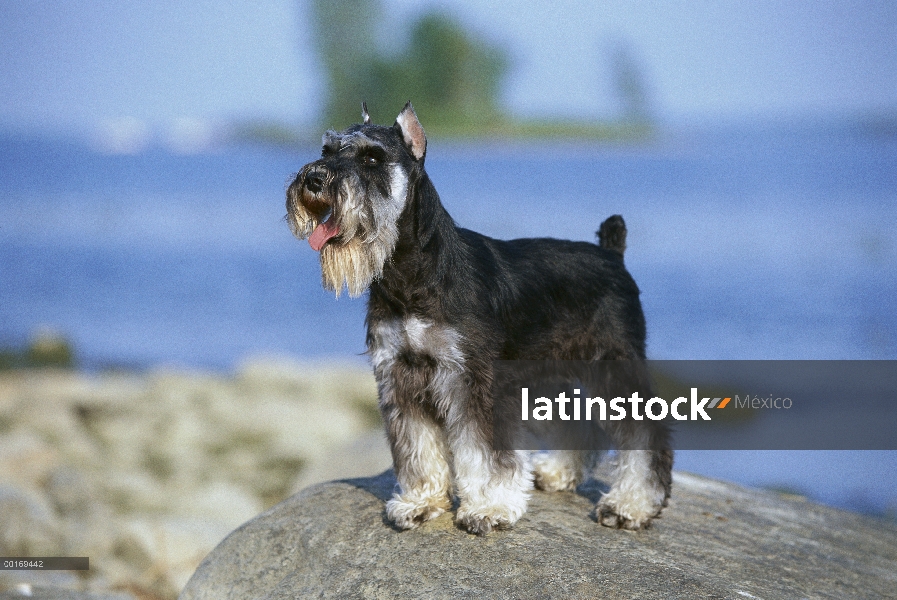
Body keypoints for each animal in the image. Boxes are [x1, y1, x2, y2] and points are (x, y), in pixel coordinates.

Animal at [288, 103, 672, 536]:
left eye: (372, 158)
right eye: (326, 149)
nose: (314, 179)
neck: (412, 273)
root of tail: (612, 254)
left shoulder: (476, 380)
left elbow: (485, 453)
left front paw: (489, 507)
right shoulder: (401, 377)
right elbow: (418, 447)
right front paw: (420, 502)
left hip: (612, 363)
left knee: (646, 433)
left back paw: (631, 504)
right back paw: (557, 473)